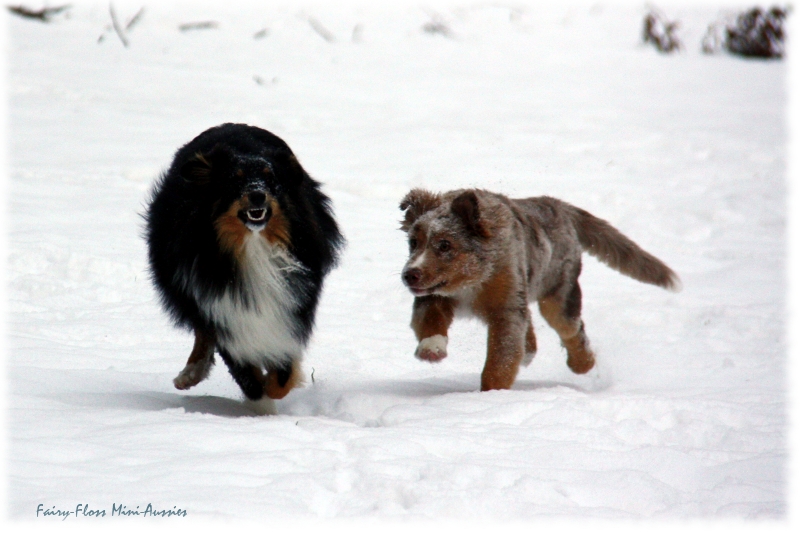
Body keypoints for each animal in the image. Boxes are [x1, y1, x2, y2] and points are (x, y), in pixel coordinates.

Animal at [147, 122, 344, 414]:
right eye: (235, 179)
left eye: (270, 178)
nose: (257, 194)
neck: (253, 247)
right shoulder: (225, 308)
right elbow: (245, 373)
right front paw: (261, 406)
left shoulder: (291, 306)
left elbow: (281, 374)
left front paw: (275, 387)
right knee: (202, 329)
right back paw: (190, 373)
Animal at [396, 189, 680, 388]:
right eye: (413, 242)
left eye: (445, 245)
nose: (409, 275)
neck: (471, 281)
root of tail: (559, 206)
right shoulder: (433, 296)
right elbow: (430, 322)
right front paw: (431, 350)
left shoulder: (506, 304)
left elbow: (502, 356)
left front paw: (491, 393)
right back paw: (531, 349)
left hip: (558, 292)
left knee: (571, 327)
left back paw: (582, 362)